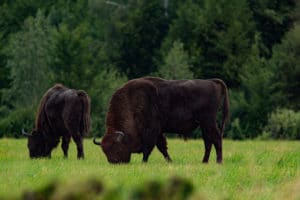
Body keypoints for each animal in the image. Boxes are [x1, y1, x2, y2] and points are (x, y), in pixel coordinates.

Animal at [94, 77, 230, 163]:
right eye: (105, 151)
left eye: (117, 148)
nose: (114, 162)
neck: (132, 104)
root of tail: (212, 82)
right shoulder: (158, 132)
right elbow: (162, 147)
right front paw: (170, 161)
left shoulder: (152, 130)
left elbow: (150, 147)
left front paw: (144, 162)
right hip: (204, 124)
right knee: (208, 141)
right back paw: (205, 161)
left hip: (208, 121)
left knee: (216, 138)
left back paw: (218, 161)